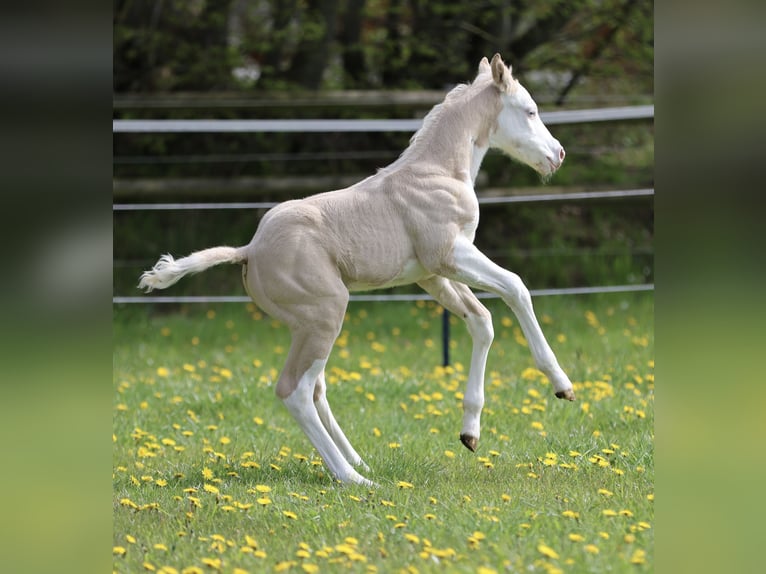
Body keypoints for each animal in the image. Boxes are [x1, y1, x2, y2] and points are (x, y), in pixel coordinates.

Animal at [139, 54, 575, 486]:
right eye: (530, 110)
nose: (559, 154)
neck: (438, 171)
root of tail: (248, 250)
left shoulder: (431, 275)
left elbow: (482, 321)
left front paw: (470, 432)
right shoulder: (450, 255)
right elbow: (516, 287)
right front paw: (562, 385)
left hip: (306, 325)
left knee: (315, 389)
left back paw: (357, 462)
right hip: (327, 312)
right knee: (295, 391)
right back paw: (353, 479)